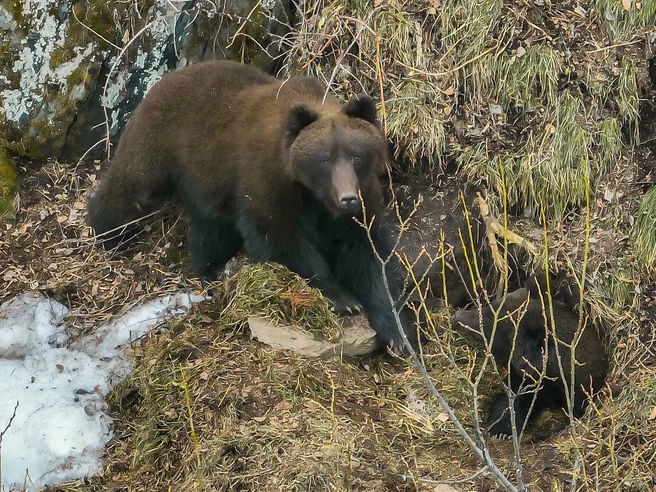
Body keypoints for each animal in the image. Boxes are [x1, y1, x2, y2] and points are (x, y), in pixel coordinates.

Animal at [88, 60, 410, 350]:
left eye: (356, 155)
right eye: (325, 159)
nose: (347, 197)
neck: (313, 194)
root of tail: (164, 80)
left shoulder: (361, 203)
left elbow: (368, 254)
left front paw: (396, 332)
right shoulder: (268, 181)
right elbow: (281, 240)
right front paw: (342, 298)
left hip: (209, 183)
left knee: (211, 231)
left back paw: (210, 270)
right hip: (161, 144)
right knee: (131, 187)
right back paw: (110, 233)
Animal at [454, 284, 608, 438]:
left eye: (490, 320)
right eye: (491, 305)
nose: (457, 316)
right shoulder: (529, 381)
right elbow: (513, 399)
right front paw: (499, 428)